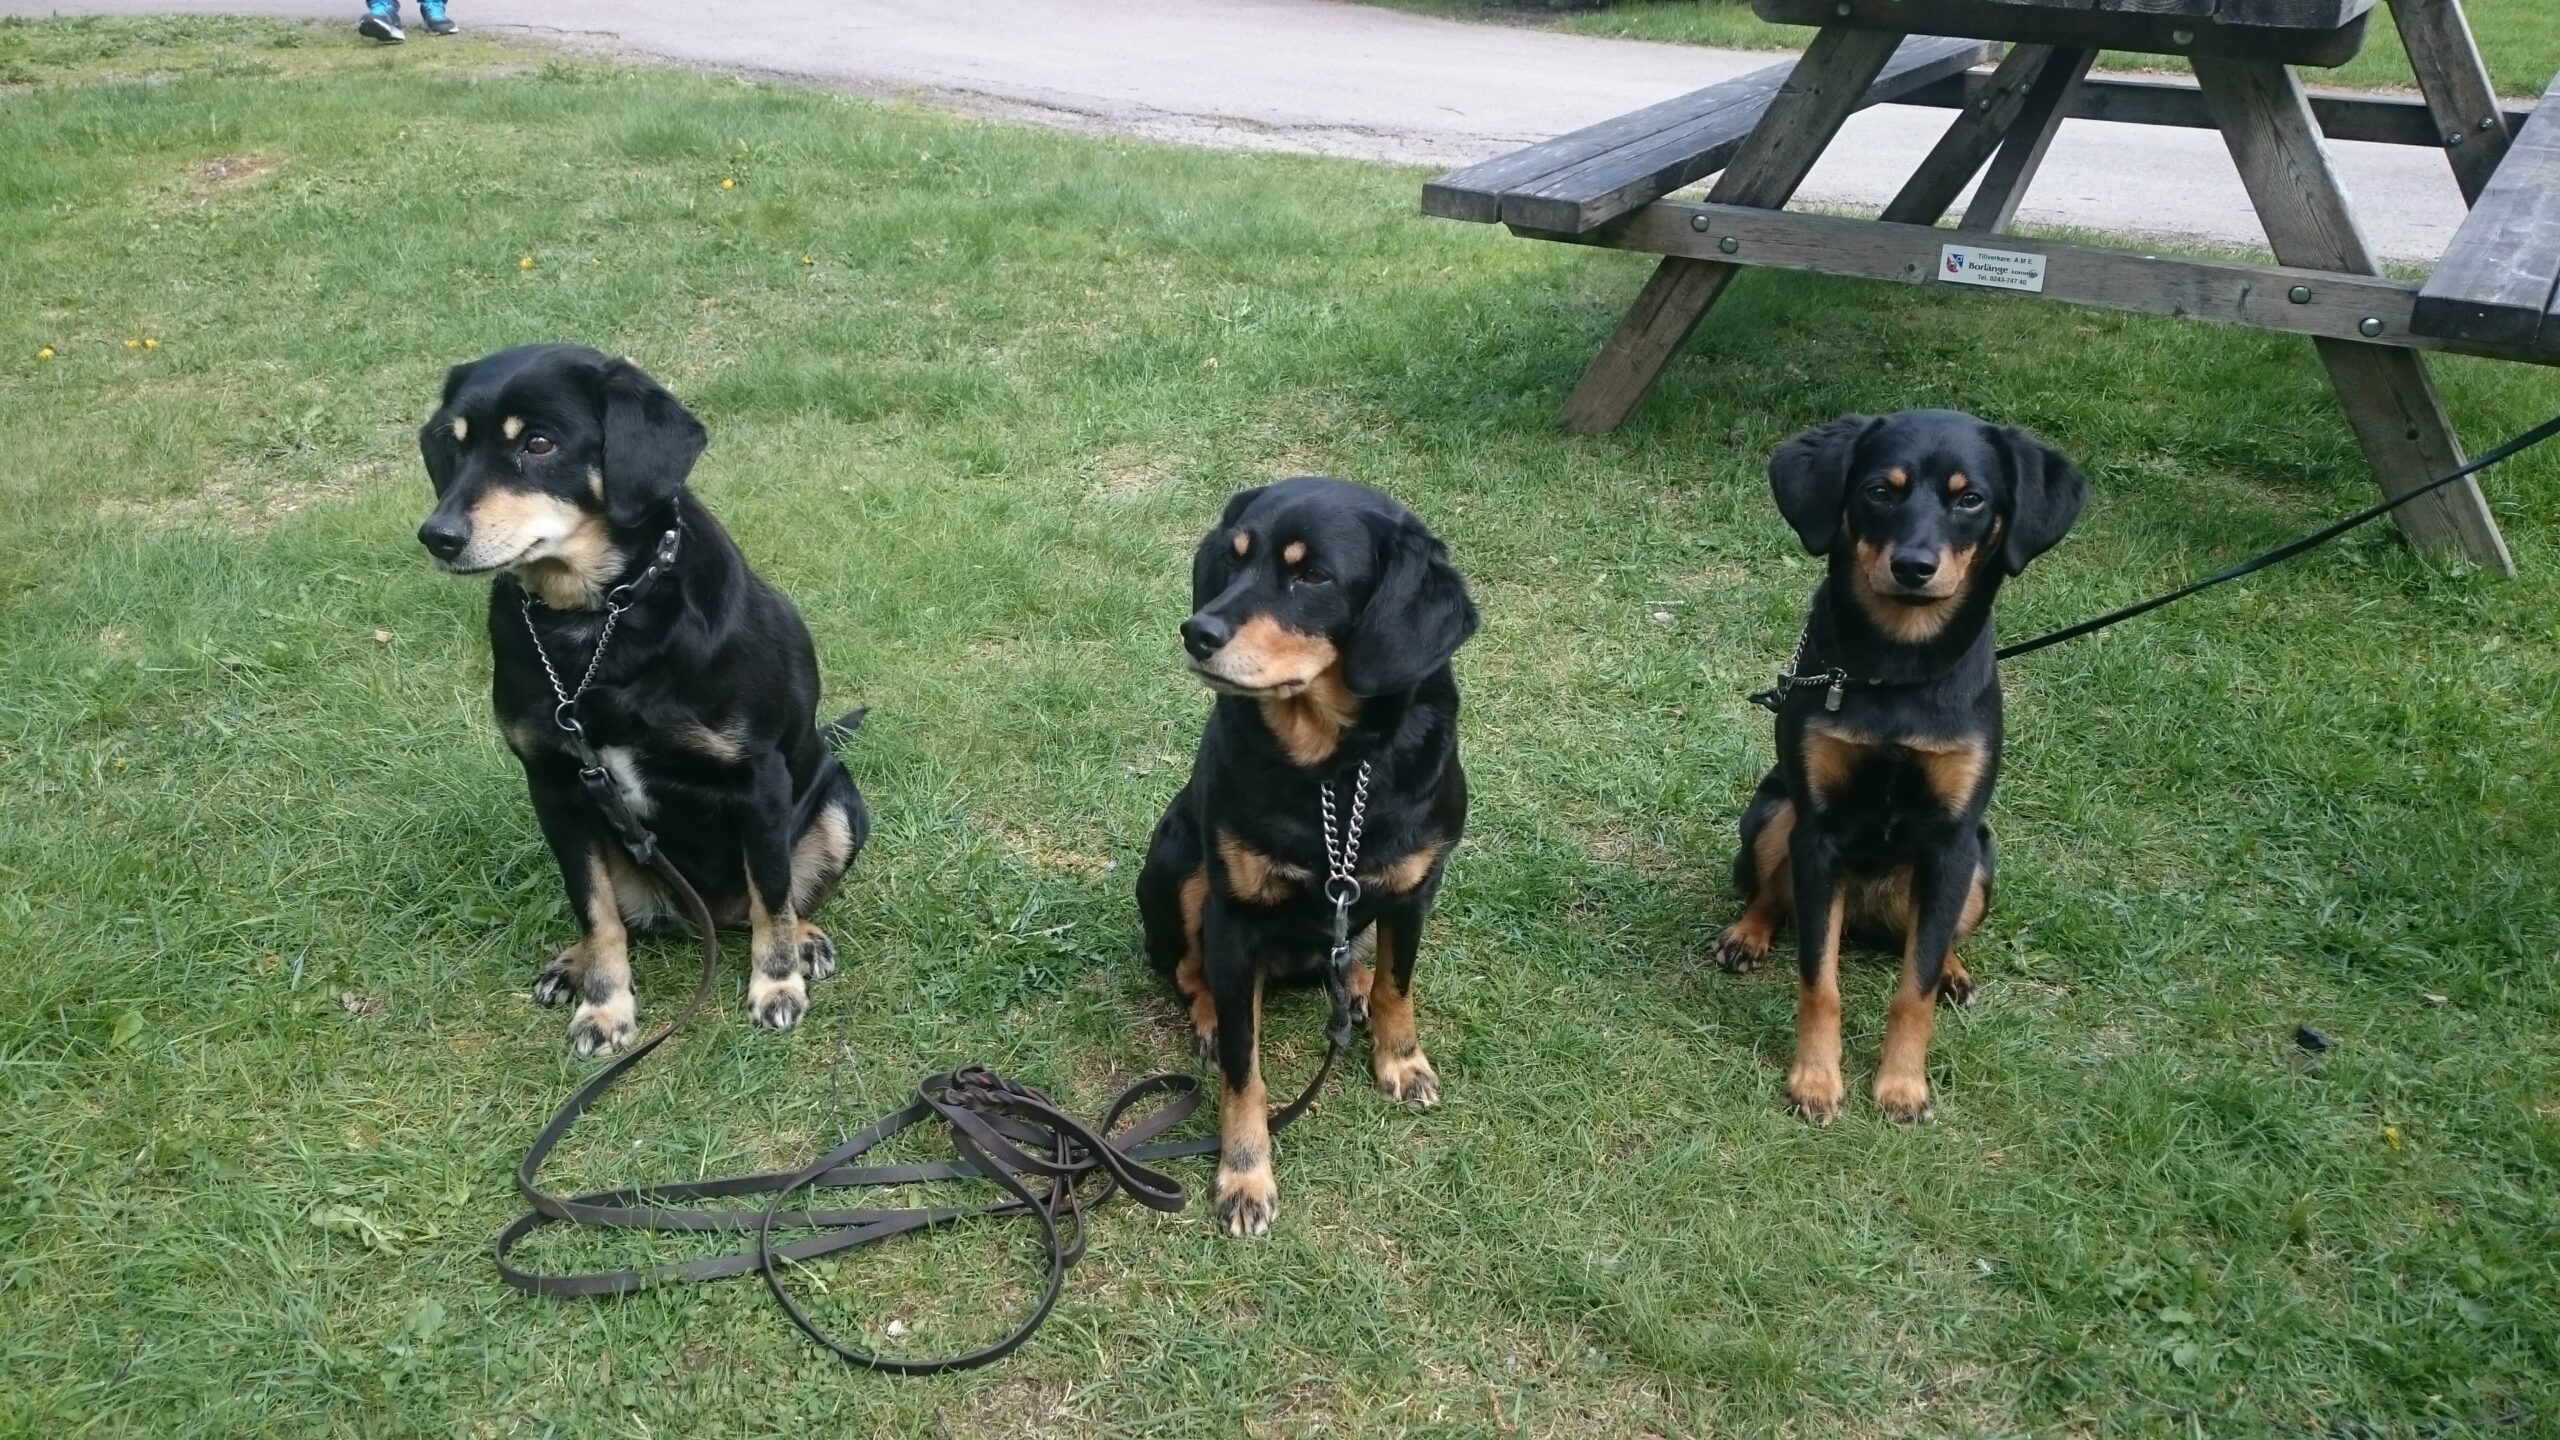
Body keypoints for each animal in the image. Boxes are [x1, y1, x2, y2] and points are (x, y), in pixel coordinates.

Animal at [1141, 474, 1484, 1235]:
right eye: (1234, 558)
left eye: (1313, 576)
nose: (1197, 632)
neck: (1334, 768)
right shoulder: (1235, 911)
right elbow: (1244, 1069)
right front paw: (1244, 1175)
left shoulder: (1416, 887)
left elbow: (1397, 985)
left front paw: (1402, 1062)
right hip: (1177, 863)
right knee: (1188, 971)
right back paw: (1212, 1014)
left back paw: (1347, 984)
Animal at [1720, 404, 2078, 1122]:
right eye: (1879, 491)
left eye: (1971, 499)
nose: (1915, 566)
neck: (1896, 674)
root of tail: (1867, 915)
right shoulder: (1817, 831)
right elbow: (1819, 980)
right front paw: (1815, 1081)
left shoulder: (1951, 841)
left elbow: (1913, 987)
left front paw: (1904, 1086)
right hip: (1775, 810)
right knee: (1775, 896)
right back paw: (1747, 934)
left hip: (1981, 862)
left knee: (1934, 942)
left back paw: (1955, 973)